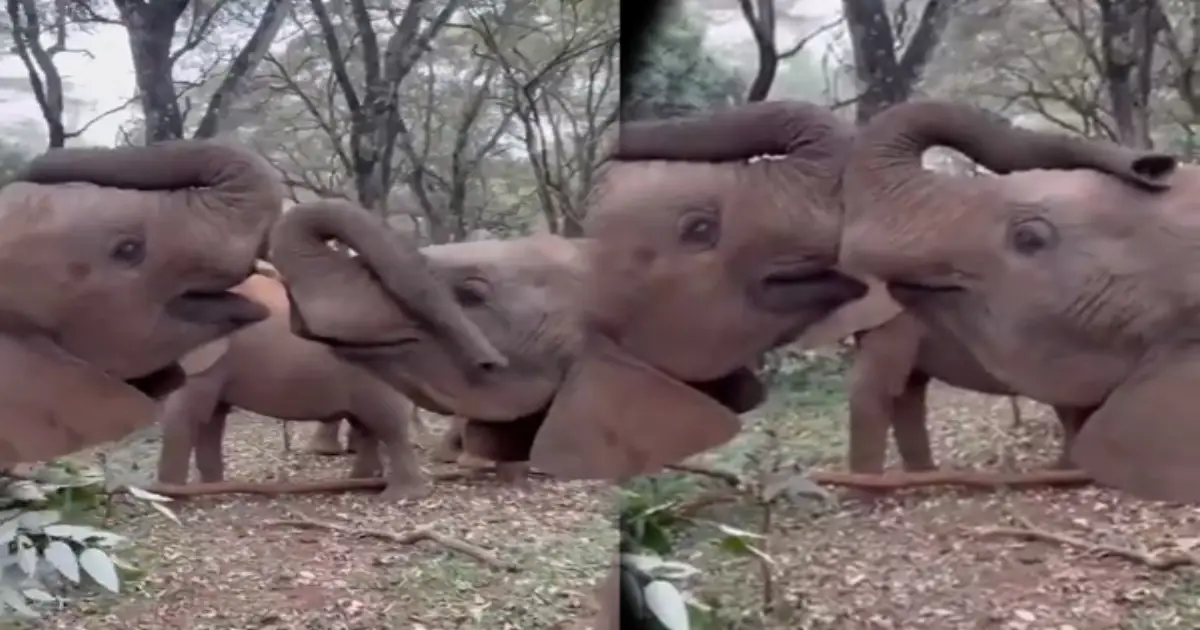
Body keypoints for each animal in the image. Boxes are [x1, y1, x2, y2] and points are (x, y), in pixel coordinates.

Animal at [154, 268, 439, 500]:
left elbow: (187, 414)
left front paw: (171, 498)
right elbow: (212, 418)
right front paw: (212, 489)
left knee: (389, 427)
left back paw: (398, 496)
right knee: (368, 424)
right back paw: (359, 483)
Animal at [581, 101, 1157, 479]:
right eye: (700, 231)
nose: (1151, 165)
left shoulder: (896, 317)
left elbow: (875, 390)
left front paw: (864, 490)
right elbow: (905, 396)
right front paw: (917, 479)